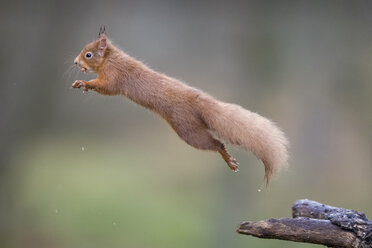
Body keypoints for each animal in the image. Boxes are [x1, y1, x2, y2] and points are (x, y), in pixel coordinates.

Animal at [72, 27, 288, 182]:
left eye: (88, 54)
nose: (75, 62)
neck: (111, 58)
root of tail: (198, 100)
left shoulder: (114, 76)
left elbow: (105, 87)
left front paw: (83, 83)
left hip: (187, 130)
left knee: (217, 143)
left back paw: (229, 160)